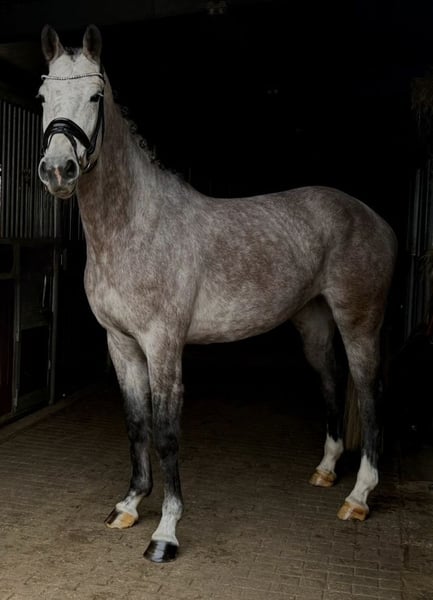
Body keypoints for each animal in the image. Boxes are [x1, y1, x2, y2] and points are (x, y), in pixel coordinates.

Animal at [37, 24, 397, 563]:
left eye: (96, 96)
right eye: (42, 98)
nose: (58, 170)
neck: (135, 226)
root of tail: (376, 219)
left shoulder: (163, 345)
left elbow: (166, 432)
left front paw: (165, 532)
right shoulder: (120, 344)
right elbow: (135, 423)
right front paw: (129, 504)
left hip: (359, 323)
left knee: (369, 392)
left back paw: (358, 497)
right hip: (313, 322)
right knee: (332, 382)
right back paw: (327, 471)